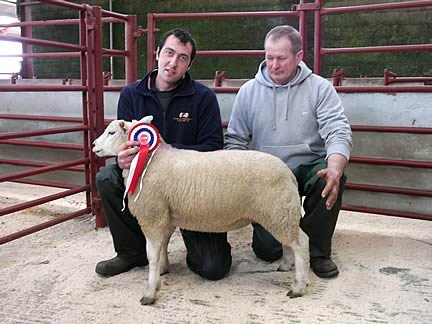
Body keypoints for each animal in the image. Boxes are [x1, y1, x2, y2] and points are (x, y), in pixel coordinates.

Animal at [93, 117, 310, 306]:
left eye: (111, 132)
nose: (94, 145)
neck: (150, 161)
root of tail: (289, 174)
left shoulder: (153, 215)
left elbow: (152, 255)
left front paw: (150, 292)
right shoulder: (165, 216)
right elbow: (162, 247)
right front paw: (162, 271)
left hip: (278, 211)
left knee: (301, 243)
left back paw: (298, 286)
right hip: (281, 213)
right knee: (291, 241)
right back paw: (287, 266)